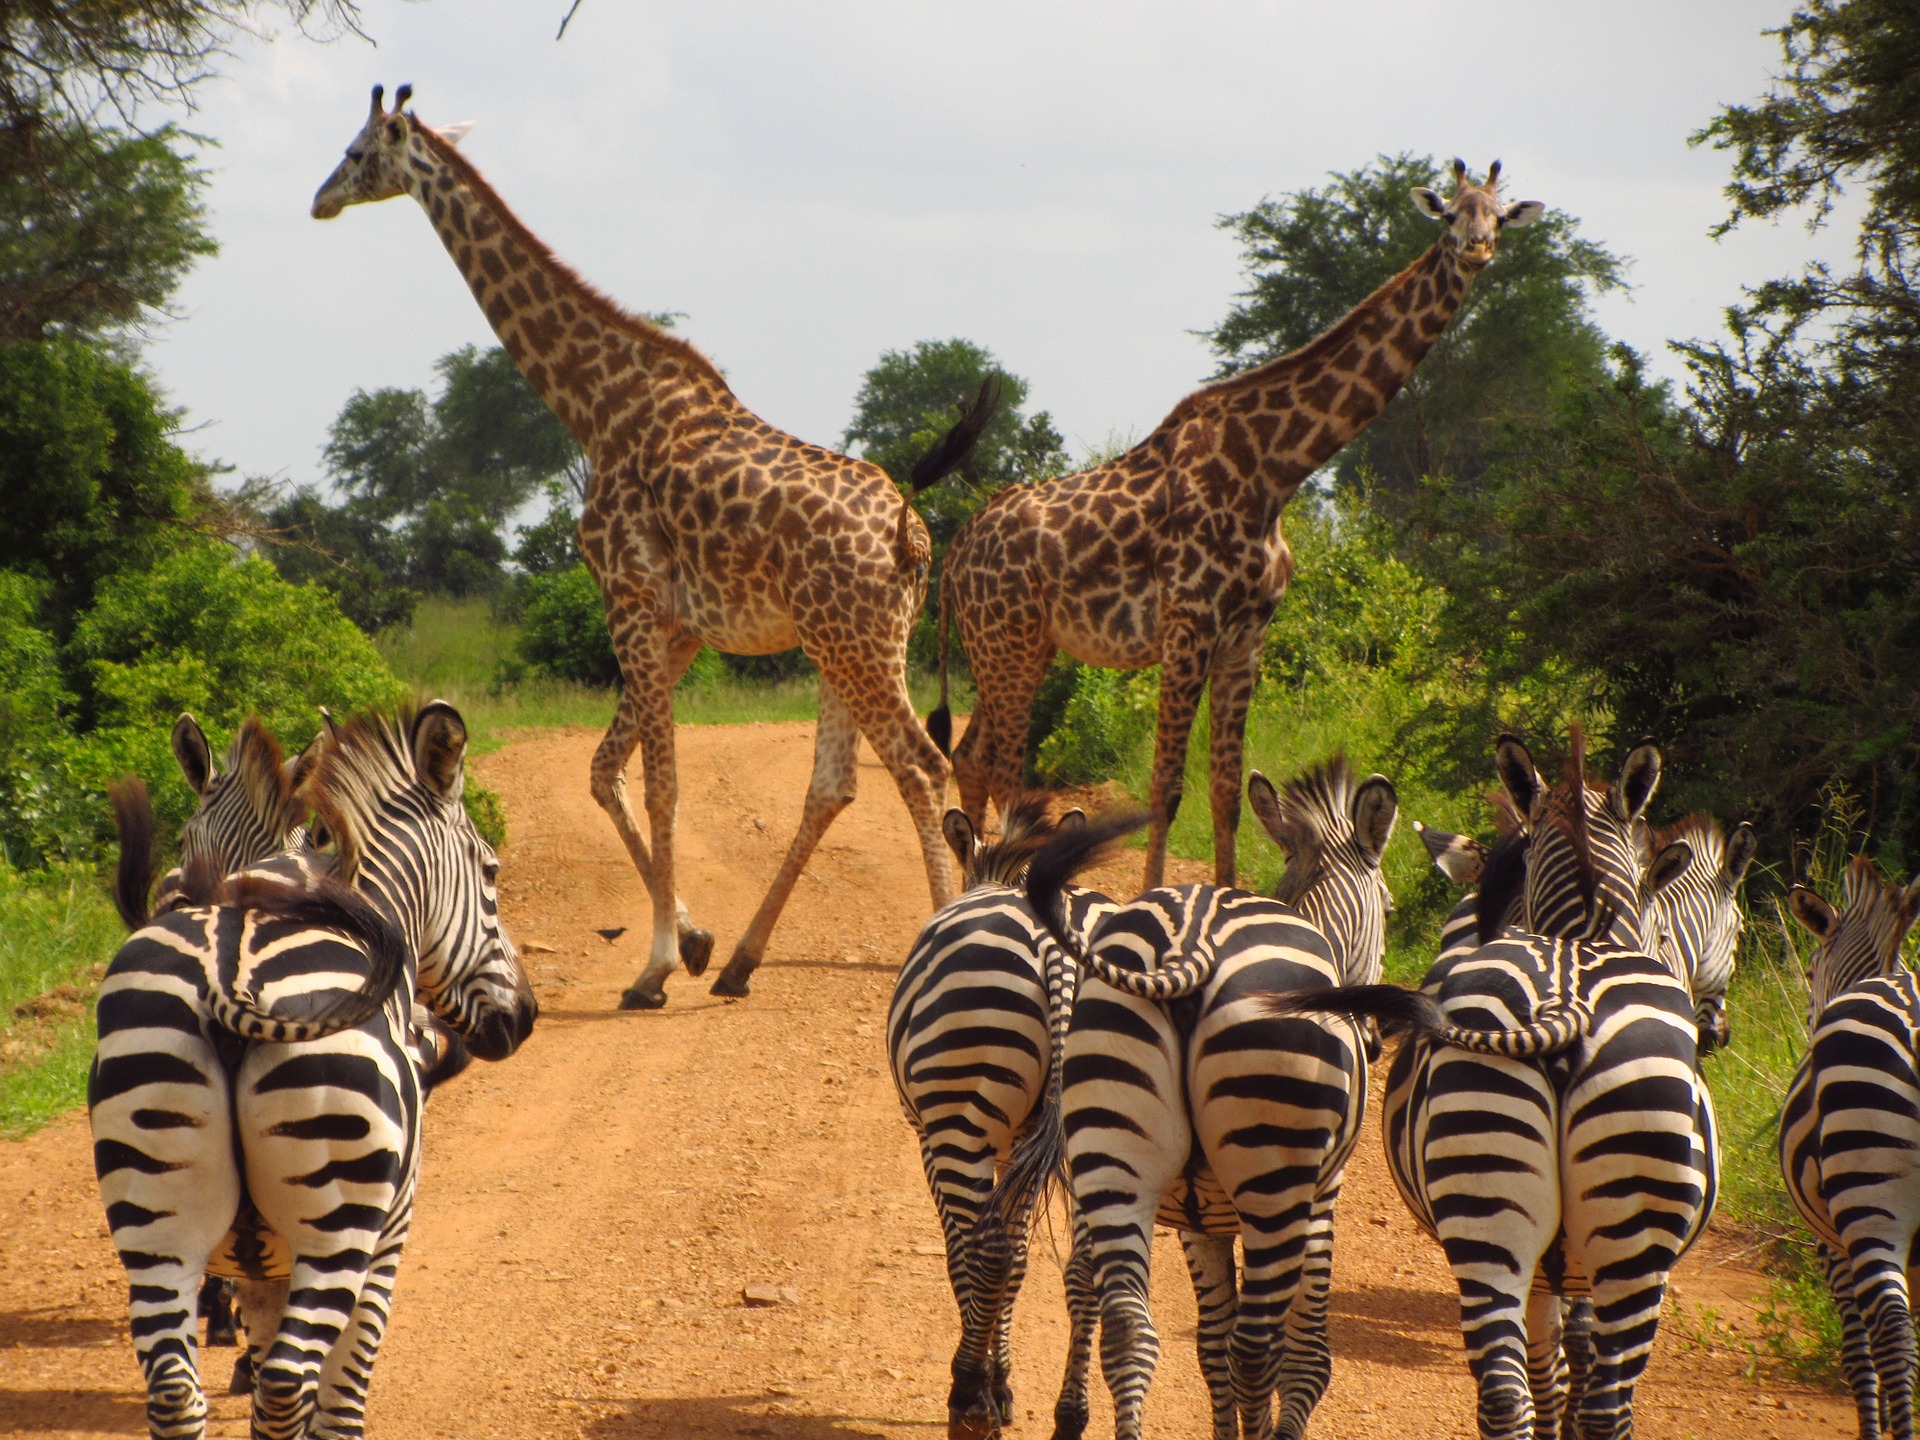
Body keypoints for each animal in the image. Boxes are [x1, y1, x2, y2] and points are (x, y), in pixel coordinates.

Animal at [313, 85, 996, 1006]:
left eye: (356, 153)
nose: (320, 199)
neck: (597, 405)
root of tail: (910, 532)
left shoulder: (630, 601)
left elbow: (662, 784)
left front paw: (656, 965)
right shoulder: (678, 628)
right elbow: (606, 769)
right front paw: (695, 940)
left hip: (854, 643)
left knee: (920, 768)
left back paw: (933, 939)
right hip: (844, 644)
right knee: (836, 785)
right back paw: (741, 962)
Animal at [930, 159, 1543, 890]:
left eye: (1498, 216)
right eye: (1450, 214)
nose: (1477, 249)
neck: (1272, 471)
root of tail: (956, 551)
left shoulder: (1246, 636)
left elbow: (1226, 788)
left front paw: (1227, 899)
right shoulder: (1188, 626)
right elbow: (1166, 786)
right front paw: (1152, 898)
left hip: (1016, 644)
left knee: (970, 756)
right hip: (1009, 643)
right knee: (1000, 766)